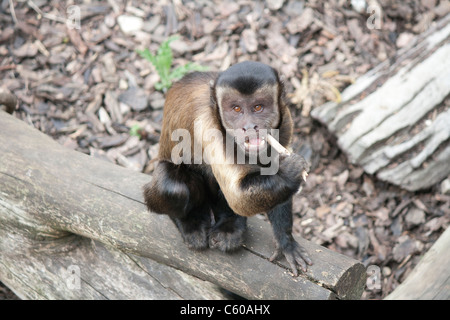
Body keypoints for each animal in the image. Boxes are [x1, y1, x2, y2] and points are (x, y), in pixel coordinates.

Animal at [144, 60, 312, 276]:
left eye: (258, 107)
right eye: (236, 109)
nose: (249, 126)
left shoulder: (286, 121)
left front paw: (285, 241)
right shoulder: (207, 125)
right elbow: (237, 196)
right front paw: (288, 172)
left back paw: (230, 225)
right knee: (174, 188)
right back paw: (189, 222)